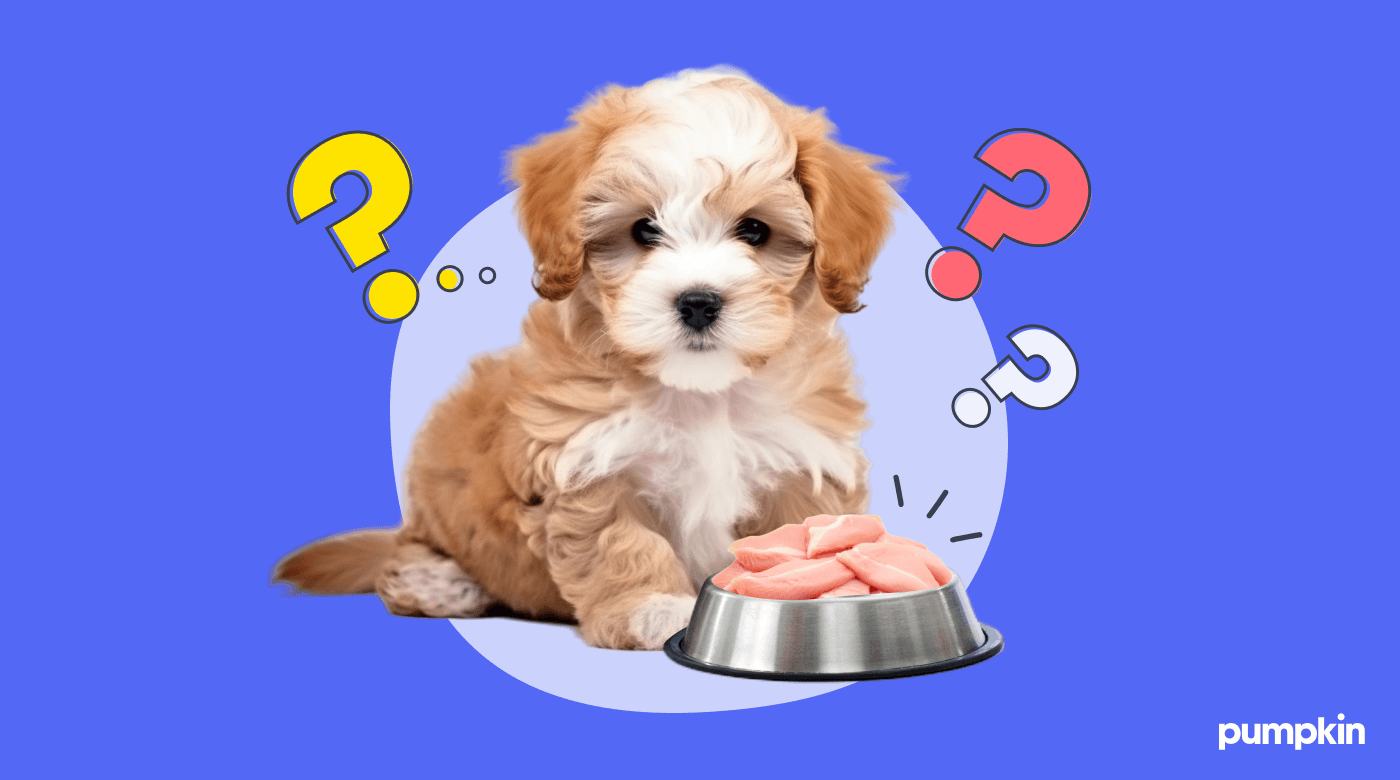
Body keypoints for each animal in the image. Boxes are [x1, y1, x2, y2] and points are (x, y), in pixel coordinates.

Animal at [273, 68, 896, 649]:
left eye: (755, 230)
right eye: (644, 229)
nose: (698, 302)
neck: (701, 392)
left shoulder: (805, 457)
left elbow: (800, 536)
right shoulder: (588, 457)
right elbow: (620, 542)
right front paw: (651, 608)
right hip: (439, 493)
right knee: (405, 555)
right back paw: (442, 582)